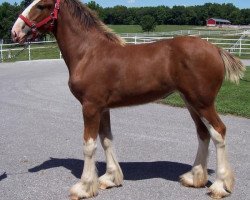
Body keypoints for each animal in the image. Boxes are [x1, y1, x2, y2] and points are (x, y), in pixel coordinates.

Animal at [11, 0, 244, 199]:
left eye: (42, 5)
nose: (15, 31)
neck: (89, 53)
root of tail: (216, 49)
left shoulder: (90, 107)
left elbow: (89, 145)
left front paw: (84, 187)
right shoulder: (103, 108)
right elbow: (106, 140)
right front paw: (109, 178)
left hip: (203, 103)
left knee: (218, 132)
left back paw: (219, 186)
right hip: (190, 103)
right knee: (203, 134)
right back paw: (194, 178)